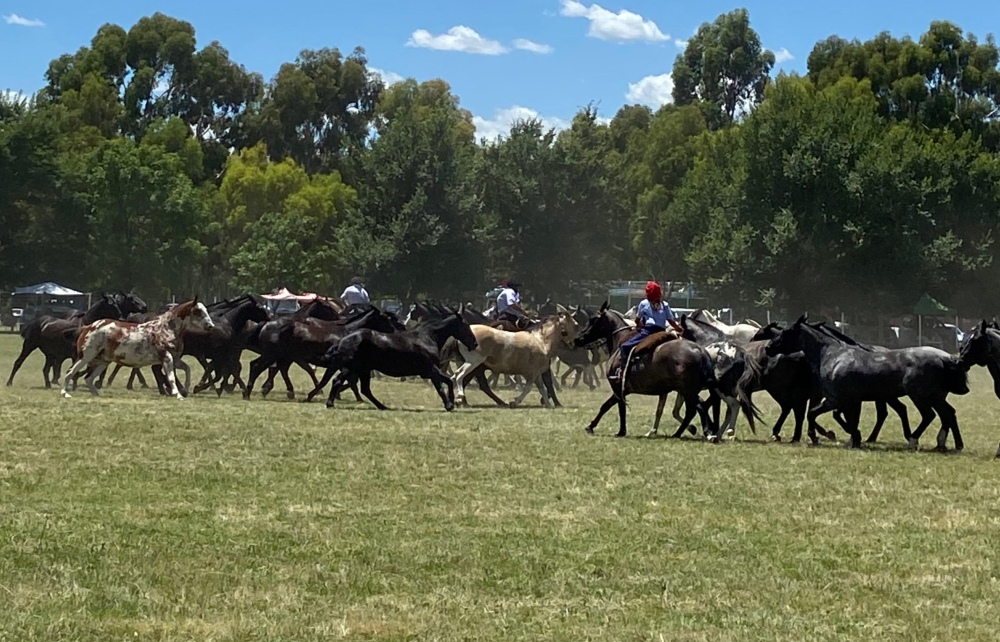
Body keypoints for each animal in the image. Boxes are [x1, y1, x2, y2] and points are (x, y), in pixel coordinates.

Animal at [59, 298, 214, 398]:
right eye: (198, 311)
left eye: (206, 310)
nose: (210, 326)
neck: (166, 329)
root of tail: (88, 326)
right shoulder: (167, 358)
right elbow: (171, 378)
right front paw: (177, 394)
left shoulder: (175, 360)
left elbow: (187, 370)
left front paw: (186, 390)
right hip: (86, 357)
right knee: (70, 372)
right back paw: (65, 393)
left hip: (103, 361)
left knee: (88, 378)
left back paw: (96, 394)